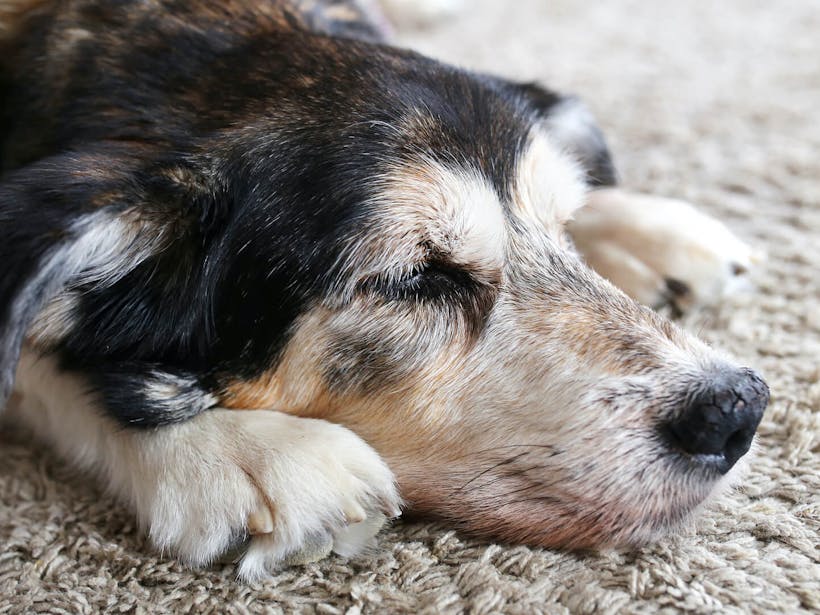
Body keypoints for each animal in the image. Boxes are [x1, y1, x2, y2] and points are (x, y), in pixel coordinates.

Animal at [0, 0, 768, 580]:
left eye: (563, 226)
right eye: (416, 278)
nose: (736, 410)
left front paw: (643, 225)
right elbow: (38, 354)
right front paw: (238, 450)